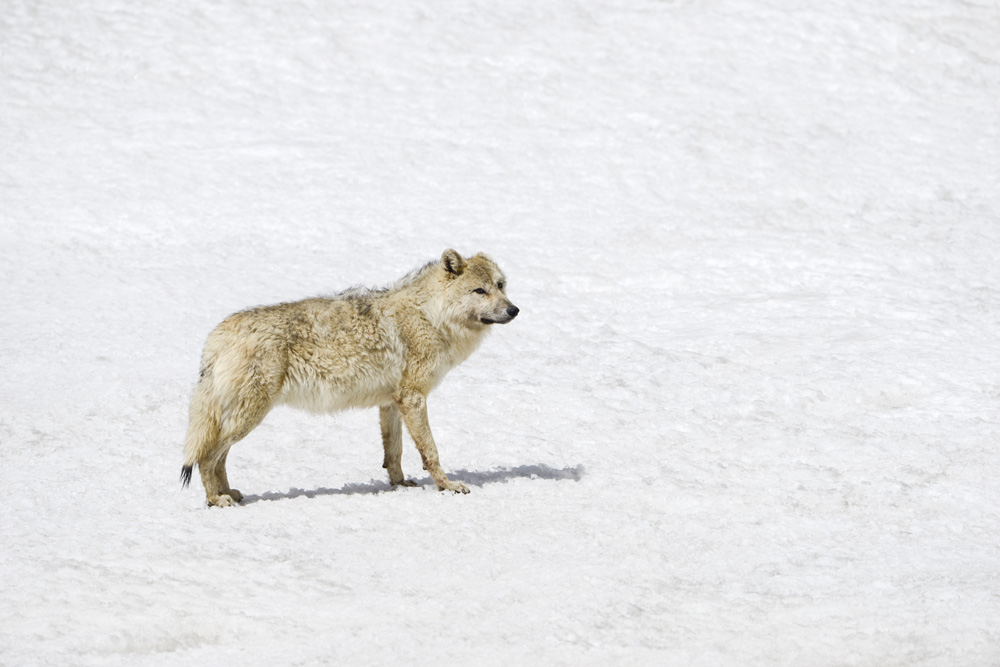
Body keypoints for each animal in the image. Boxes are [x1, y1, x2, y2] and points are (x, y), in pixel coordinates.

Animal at [180, 250, 520, 506]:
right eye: (480, 291)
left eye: (501, 285)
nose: (514, 310)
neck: (431, 317)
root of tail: (216, 336)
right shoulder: (413, 398)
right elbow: (430, 451)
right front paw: (447, 486)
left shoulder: (392, 402)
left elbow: (394, 453)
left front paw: (400, 486)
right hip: (248, 416)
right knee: (206, 457)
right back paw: (216, 499)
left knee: (218, 457)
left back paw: (229, 493)